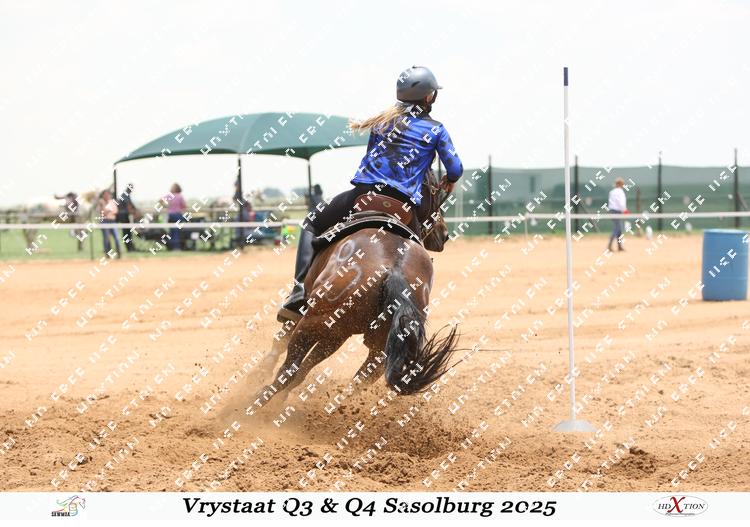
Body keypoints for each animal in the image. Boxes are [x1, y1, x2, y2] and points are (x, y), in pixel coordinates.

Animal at [246, 169, 459, 416]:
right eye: (437, 192)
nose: (443, 234)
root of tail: (395, 270)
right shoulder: (338, 334)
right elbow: (305, 368)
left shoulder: (310, 315)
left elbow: (282, 341)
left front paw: (259, 372)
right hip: (376, 347)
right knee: (351, 382)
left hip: (315, 322)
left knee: (288, 370)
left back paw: (246, 406)